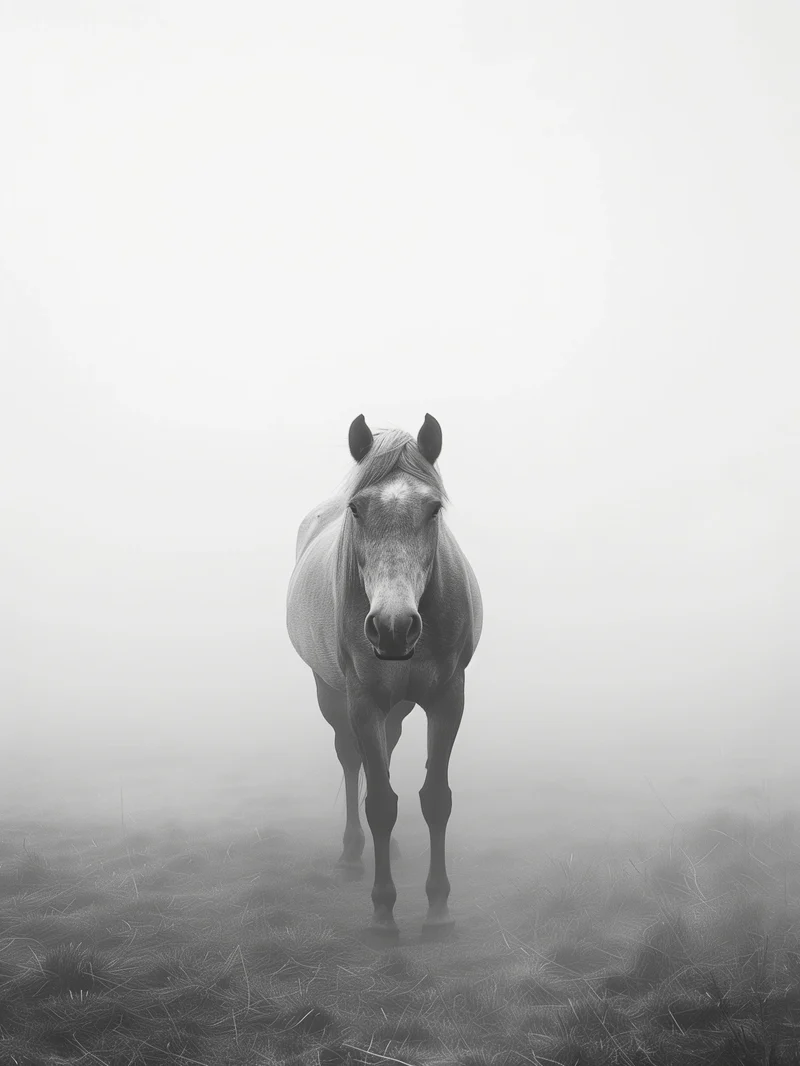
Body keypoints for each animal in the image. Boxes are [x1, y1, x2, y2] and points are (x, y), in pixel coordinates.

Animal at [286, 414, 482, 939]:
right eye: (356, 509)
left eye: (434, 509)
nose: (393, 628)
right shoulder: (363, 701)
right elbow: (378, 803)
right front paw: (382, 912)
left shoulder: (447, 698)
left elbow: (435, 799)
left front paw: (438, 908)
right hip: (331, 694)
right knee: (351, 762)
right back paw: (353, 855)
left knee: (387, 753)